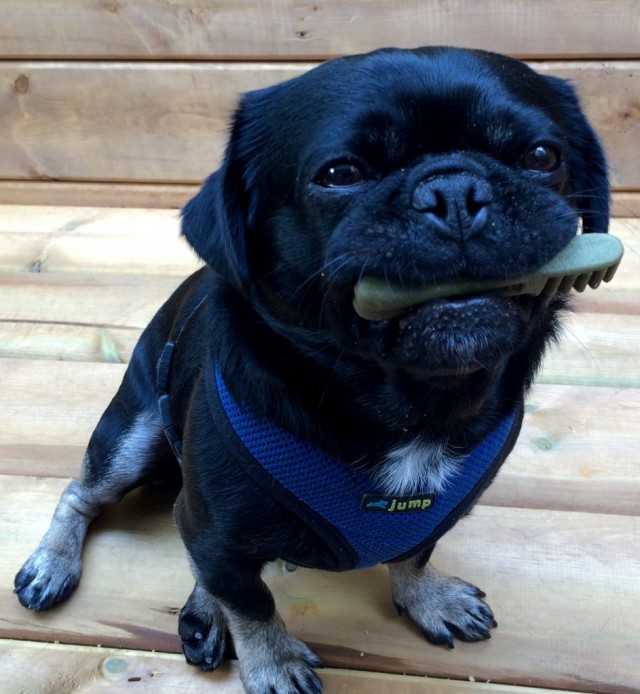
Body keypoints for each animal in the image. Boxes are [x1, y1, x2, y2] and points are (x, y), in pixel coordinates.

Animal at [13, 46, 604, 692]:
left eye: (542, 157)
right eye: (340, 173)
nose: (454, 190)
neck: (411, 406)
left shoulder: (425, 519)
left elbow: (415, 550)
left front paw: (426, 596)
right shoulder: (218, 532)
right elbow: (250, 600)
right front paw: (273, 662)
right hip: (135, 434)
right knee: (90, 495)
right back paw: (55, 564)